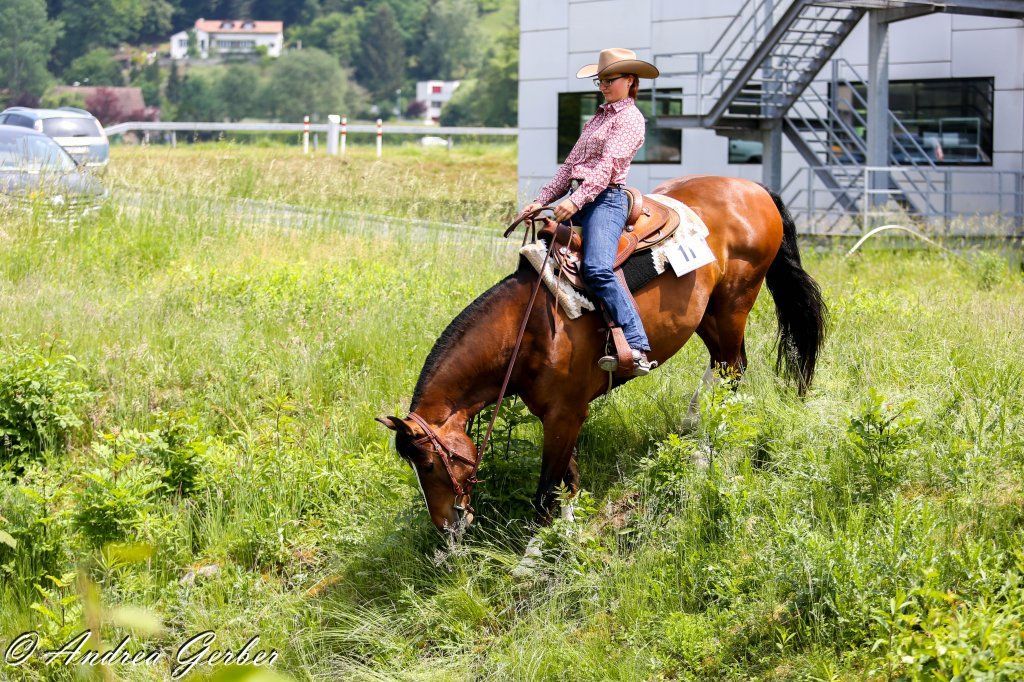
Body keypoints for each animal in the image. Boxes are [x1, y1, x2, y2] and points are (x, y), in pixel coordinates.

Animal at [377, 176, 827, 533]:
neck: (527, 329)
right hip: (710, 314)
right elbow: (569, 485)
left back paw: (705, 447)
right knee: (725, 367)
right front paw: (568, 535)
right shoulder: (559, 416)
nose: (447, 526)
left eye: (428, 464)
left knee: (732, 370)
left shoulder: (565, 414)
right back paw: (696, 421)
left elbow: (546, 495)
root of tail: (754, 188)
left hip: (734, 303)